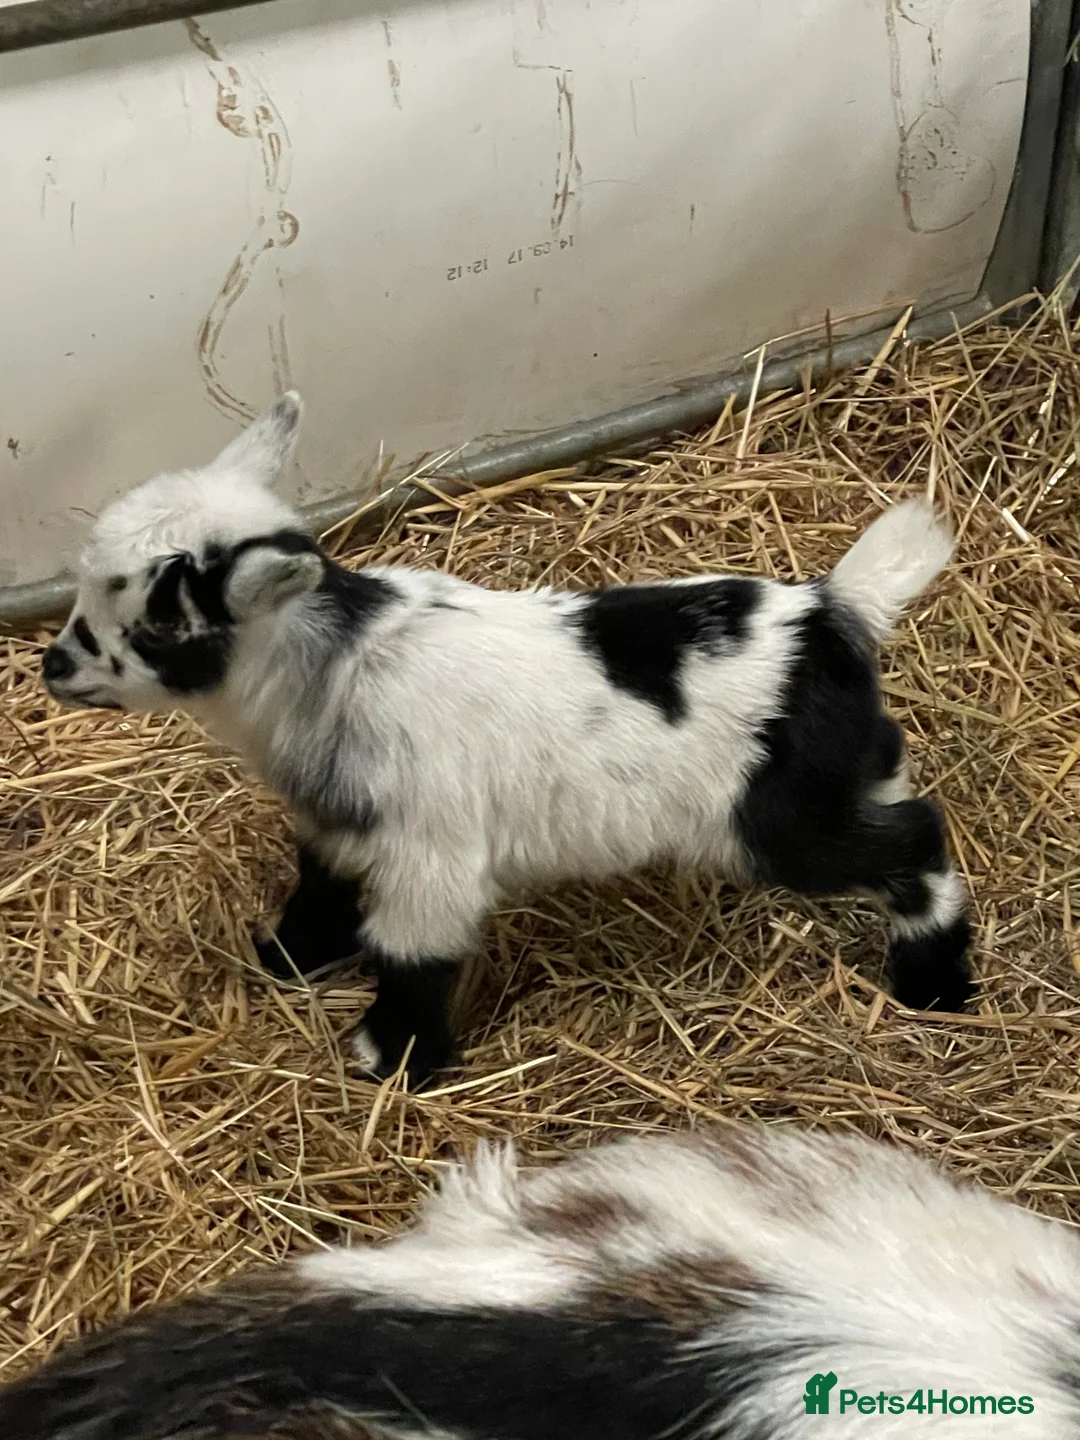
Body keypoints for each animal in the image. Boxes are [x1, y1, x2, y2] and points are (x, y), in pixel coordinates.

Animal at [42, 394, 972, 1085]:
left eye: (159, 626)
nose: (54, 666)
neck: (337, 669)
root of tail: (832, 612)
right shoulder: (341, 819)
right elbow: (322, 884)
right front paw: (288, 956)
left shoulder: (431, 851)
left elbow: (413, 951)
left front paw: (392, 1057)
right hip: (841, 767)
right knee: (899, 789)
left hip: (774, 820)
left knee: (916, 837)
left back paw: (935, 983)